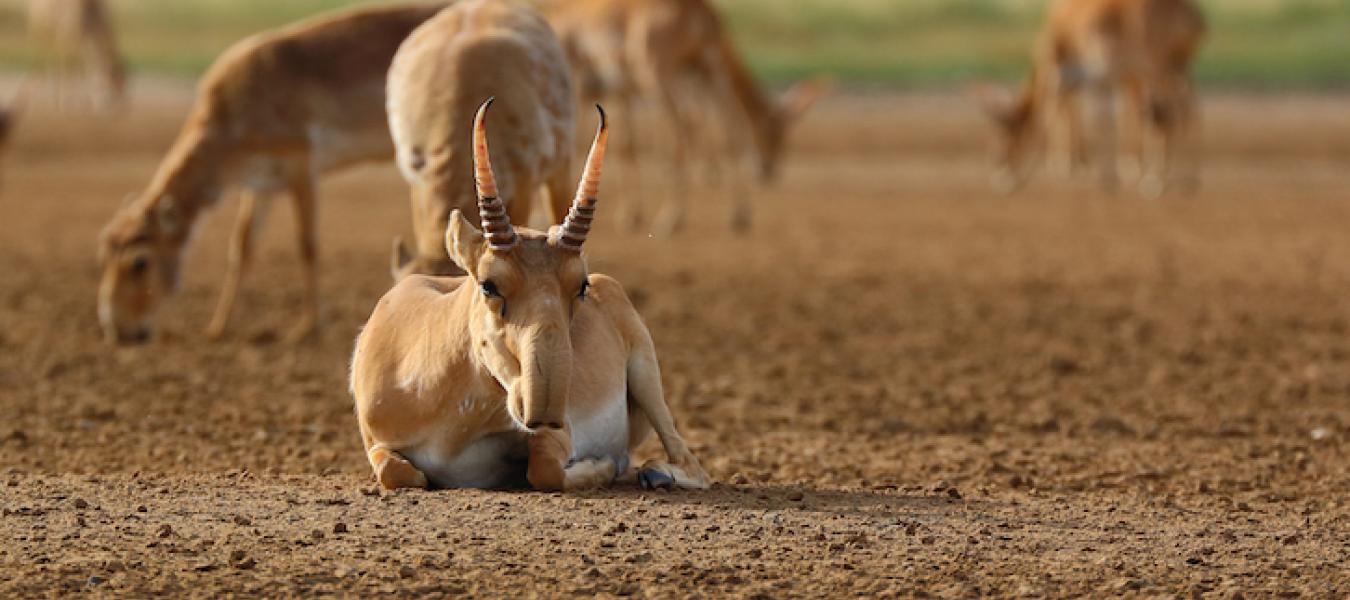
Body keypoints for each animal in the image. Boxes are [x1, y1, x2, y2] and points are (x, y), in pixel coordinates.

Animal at [101, 2, 448, 344]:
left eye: (140, 262)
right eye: (103, 253)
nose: (117, 330)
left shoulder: (303, 169)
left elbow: (307, 245)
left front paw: (309, 326)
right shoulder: (260, 185)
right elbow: (241, 249)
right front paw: (217, 327)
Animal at [348, 99, 712, 491]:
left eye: (581, 285)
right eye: (489, 284)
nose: (546, 406)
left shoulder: (554, 435)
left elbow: (545, 470)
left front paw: (602, 465)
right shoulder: (376, 443)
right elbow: (397, 472)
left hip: (646, 372)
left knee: (694, 466)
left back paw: (655, 472)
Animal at [542, 0, 826, 233]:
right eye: (771, 129)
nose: (768, 169)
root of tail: (704, 14)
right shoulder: (622, 91)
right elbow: (627, 146)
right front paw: (632, 215)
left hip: (661, 76)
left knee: (683, 126)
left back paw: (671, 218)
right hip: (709, 72)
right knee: (730, 126)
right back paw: (739, 215)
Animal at [977, 0, 1209, 197]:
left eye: (1009, 133)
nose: (1002, 173)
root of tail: (1194, 16)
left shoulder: (1062, 72)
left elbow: (1060, 112)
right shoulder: (1095, 79)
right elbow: (1099, 117)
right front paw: (1096, 172)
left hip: (1157, 67)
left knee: (1170, 115)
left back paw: (1155, 181)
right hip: (1178, 67)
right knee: (1189, 109)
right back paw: (1191, 176)